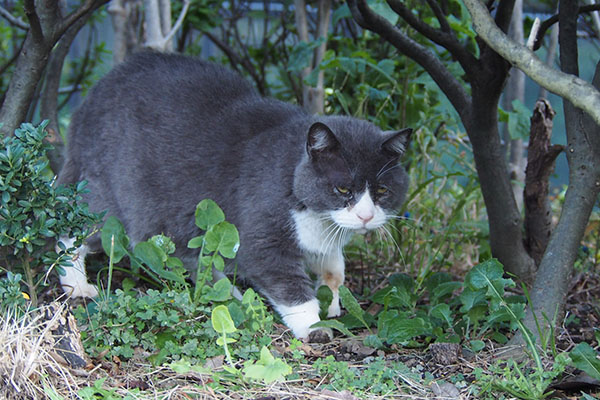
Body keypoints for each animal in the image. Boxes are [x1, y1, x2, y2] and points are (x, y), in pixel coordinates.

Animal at [57, 51, 412, 340]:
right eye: (343, 189)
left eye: (382, 191)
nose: (366, 216)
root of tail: (93, 96)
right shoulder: (262, 236)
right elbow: (289, 285)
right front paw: (315, 326)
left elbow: (333, 268)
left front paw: (334, 301)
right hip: (108, 196)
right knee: (73, 228)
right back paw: (77, 284)